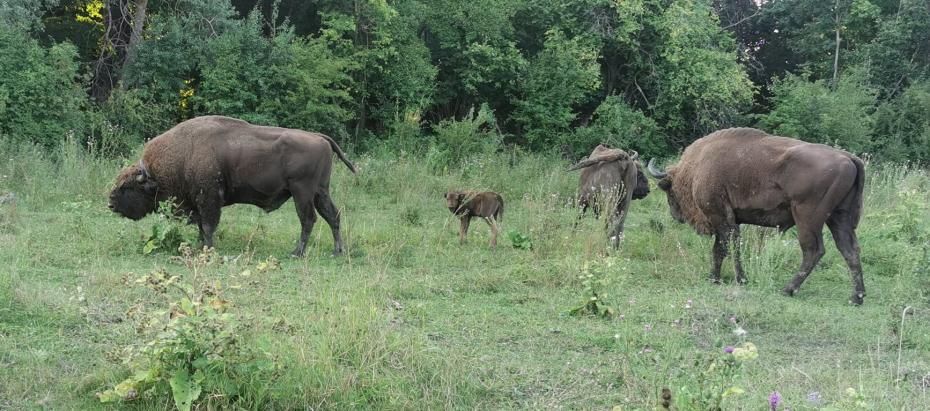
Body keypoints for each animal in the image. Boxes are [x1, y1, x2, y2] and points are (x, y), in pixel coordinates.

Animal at [108, 116, 356, 258]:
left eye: (127, 187)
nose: (110, 204)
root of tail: (320, 138)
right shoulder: (199, 202)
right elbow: (201, 227)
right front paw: (199, 246)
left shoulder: (208, 199)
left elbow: (208, 226)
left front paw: (207, 249)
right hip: (320, 191)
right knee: (333, 216)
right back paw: (337, 251)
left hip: (302, 192)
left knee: (308, 219)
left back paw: (297, 253)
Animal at [640, 129, 868, 306]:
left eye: (669, 191)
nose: (676, 215)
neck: (696, 167)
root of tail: (848, 158)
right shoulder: (729, 221)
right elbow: (720, 249)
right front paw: (714, 278)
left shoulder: (721, 217)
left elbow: (728, 248)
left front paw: (739, 279)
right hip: (839, 218)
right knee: (850, 250)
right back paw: (856, 297)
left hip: (807, 219)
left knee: (813, 251)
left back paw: (787, 289)